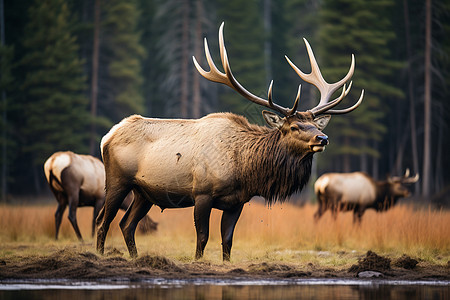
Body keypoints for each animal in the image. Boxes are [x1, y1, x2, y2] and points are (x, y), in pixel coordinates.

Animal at [96, 22, 364, 260]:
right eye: (294, 127)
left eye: (315, 125)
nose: (323, 138)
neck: (244, 168)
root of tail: (107, 136)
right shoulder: (202, 193)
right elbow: (203, 237)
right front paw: (198, 261)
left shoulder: (237, 202)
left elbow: (227, 240)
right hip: (117, 181)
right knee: (103, 221)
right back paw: (99, 255)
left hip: (144, 193)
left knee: (126, 225)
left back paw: (134, 258)